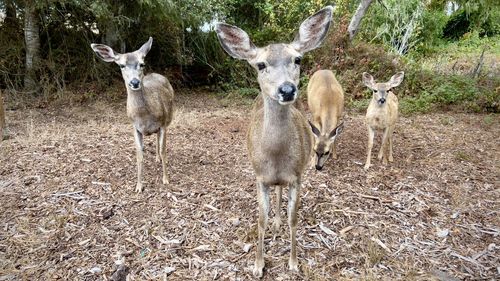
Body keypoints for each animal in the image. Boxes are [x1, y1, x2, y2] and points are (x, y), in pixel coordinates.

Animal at [90, 37, 174, 191]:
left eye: (142, 64)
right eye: (121, 65)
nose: (134, 82)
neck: (145, 117)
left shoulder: (163, 124)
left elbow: (164, 150)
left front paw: (165, 180)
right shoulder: (135, 127)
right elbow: (139, 155)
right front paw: (139, 186)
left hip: (168, 118)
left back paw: (158, 159)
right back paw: (156, 158)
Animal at [214, 5, 332, 276]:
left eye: (297, 59)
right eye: (260, 64)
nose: (287, 90)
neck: (276, 157)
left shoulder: (297, 176)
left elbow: (293, 218)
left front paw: (293, 262)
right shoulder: (259, 177)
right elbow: (261, 219)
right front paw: (258, 265)